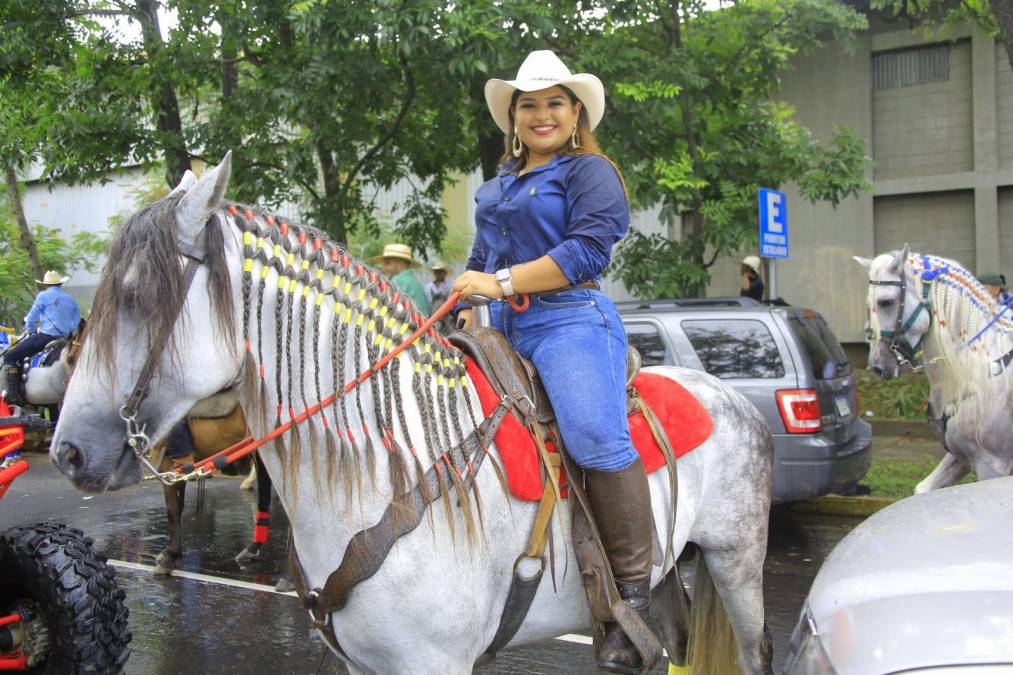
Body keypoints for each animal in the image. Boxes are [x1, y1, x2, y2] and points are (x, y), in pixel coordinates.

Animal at [49, 155, 773, 668]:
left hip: (737, 563)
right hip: (673, 575)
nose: (67, 452)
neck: (389, 469)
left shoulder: (435, 662)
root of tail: (732, 397)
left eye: (137, 296)